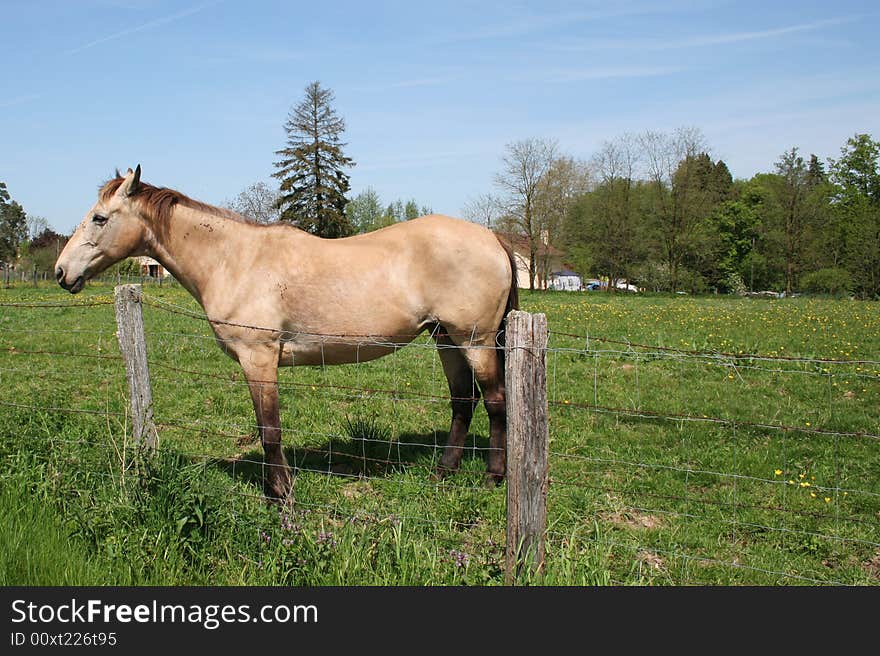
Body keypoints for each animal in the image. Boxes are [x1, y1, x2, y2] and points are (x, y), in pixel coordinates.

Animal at [55, 167, 520, 500]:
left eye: (99, 218)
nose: (62, 272)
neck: (234, 260)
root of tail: (492, 236)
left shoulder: (259, 358)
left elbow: (270, 429)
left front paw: (280, 494)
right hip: (445, 337)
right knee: (463, 402)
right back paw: (443, 473)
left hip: (474, 339)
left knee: (496, 401)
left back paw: (493, 478)